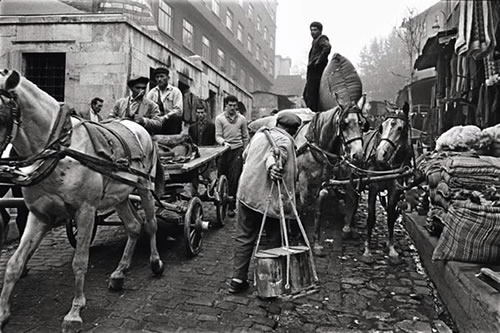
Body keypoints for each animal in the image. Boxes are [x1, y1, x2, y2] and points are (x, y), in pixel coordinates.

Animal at [0, 68, 164, 330]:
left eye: (1, 114)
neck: (60, 148)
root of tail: (135, 124)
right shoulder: (40, 214)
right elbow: (15, 262)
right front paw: (3, 312)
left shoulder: (86, 211)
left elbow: (80, 261)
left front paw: (75, 312)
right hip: (120, 194)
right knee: (133, 226)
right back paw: (119, 272)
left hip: (144, 186)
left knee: (150, 224)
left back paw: (156, 262)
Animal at [362, 102, 412, 264]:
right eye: (381, 127)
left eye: (400, 128)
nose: (379, 155)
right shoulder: (372, 187)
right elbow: (371, 218)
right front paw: (367, 250)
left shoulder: (395, 190)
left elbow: (390, 217)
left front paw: (391, 249)